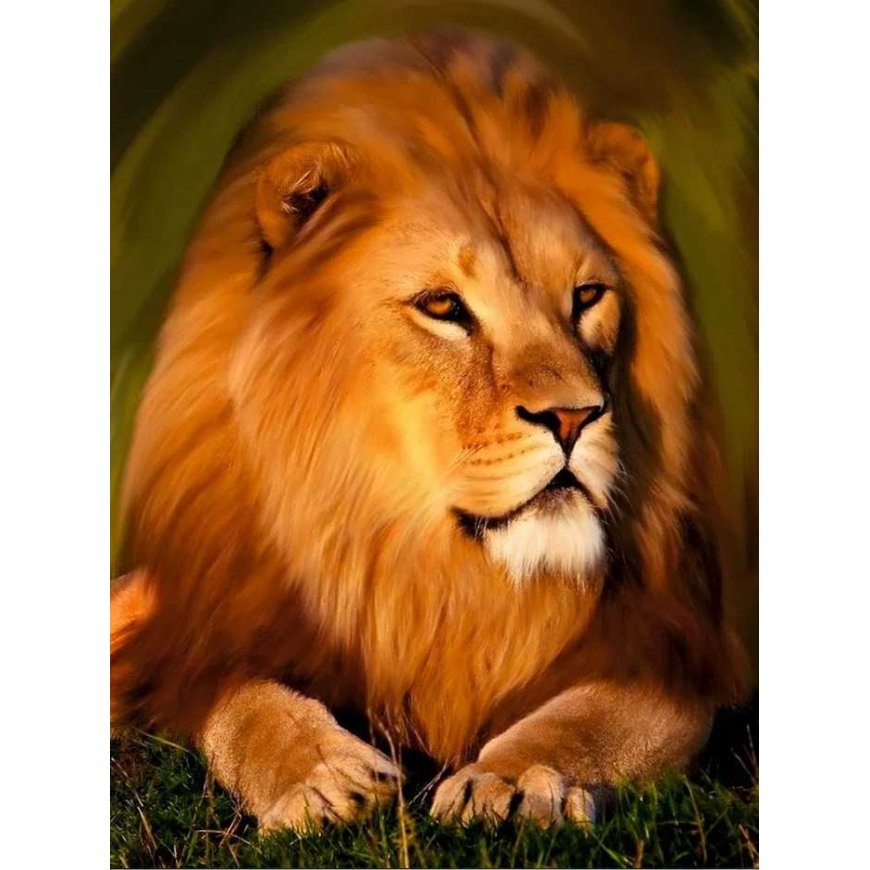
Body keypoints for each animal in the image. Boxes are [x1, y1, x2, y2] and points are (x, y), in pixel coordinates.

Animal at [111, 30, 747, 831]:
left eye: (587, 296)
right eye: (443, 305)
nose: (575, 416)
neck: (427, 571)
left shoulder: (676, 647)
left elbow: (588, 719)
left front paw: (512, 779)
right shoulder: (213, 635)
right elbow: (246, 705)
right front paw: (321, 776)